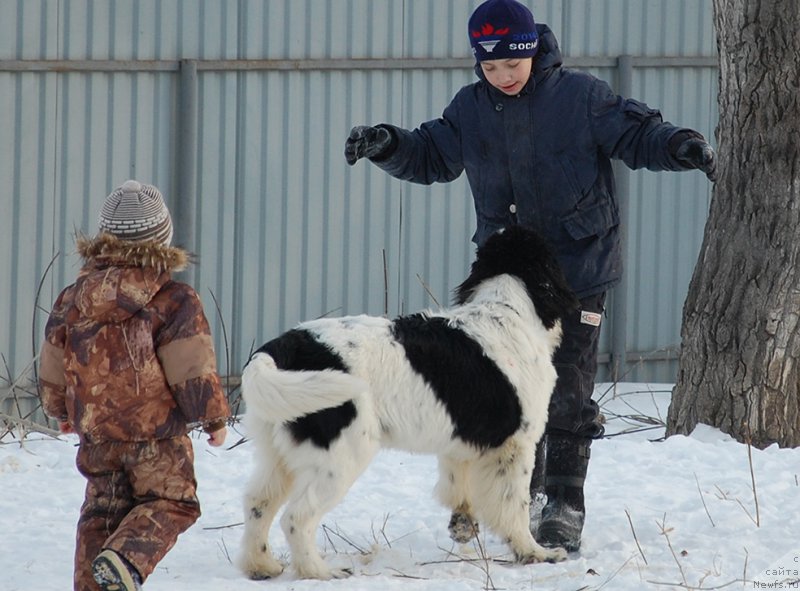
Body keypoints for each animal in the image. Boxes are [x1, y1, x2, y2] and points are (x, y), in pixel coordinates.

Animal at [236, 227, 576, 584]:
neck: (506, 309)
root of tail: (279, 349)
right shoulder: (514, 447)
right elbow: (514, 506)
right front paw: (535, 553)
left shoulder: (463, 443)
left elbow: (460, 488)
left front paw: (463, 527)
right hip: (341, 455)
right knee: (296, 517)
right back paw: (320, 571)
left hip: (278, 451)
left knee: (257, 503)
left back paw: (261, 565)